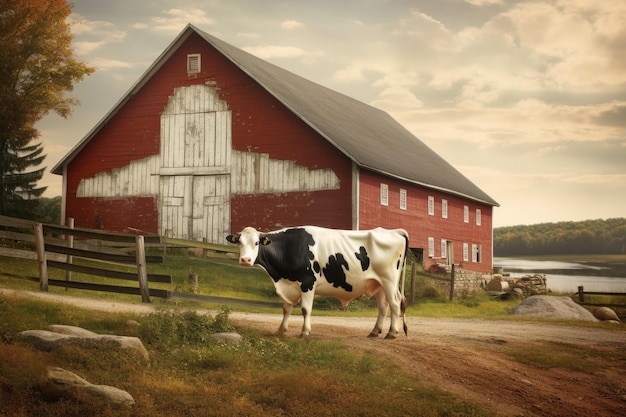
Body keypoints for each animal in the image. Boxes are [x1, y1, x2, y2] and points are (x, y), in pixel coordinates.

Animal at [225, 224, 410, 338]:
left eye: (257, 243)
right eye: (239, 242)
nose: (245, 260)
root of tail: (395, 231)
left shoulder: (307, 283)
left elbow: (305, 309)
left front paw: (304, 332)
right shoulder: (289, 285)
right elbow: (286, 309)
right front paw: (281, 330)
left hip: (389, 280)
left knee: (395, 304)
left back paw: (392, 333)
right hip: (378, 283)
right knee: (383, 306)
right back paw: (375, 331)